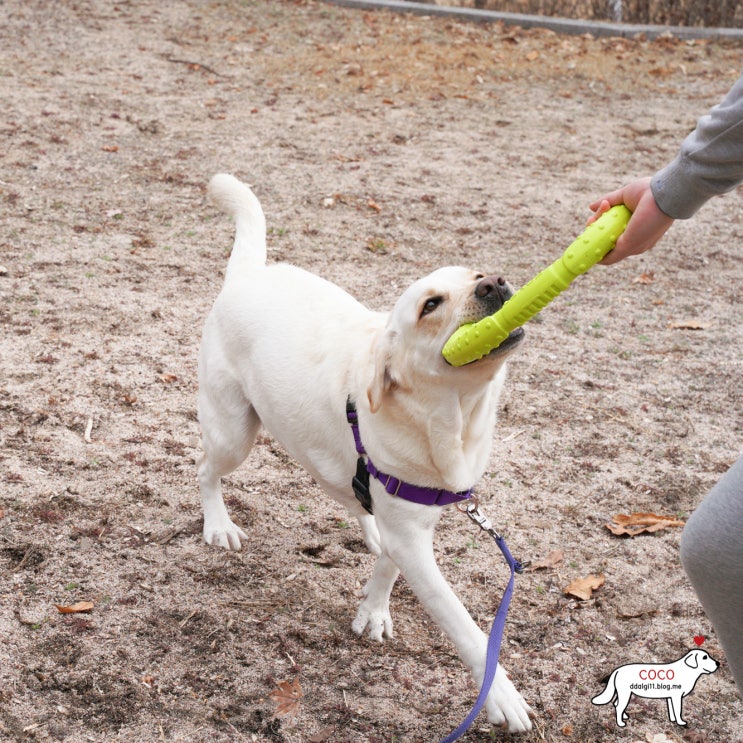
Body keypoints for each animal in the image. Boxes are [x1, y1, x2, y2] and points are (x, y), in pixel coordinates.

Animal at [198, 173, 532, 732]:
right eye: (430, 305)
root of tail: (248, 275)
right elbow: (462, 623)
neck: (448, 419)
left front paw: (373, 611)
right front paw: (501, 695)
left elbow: (388, 566)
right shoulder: (414, 539)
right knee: (205, 470)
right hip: (233, 433)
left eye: (477, 275)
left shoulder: (412, 518)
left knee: (356, 501)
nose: (495, 284)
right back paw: (218, 524)